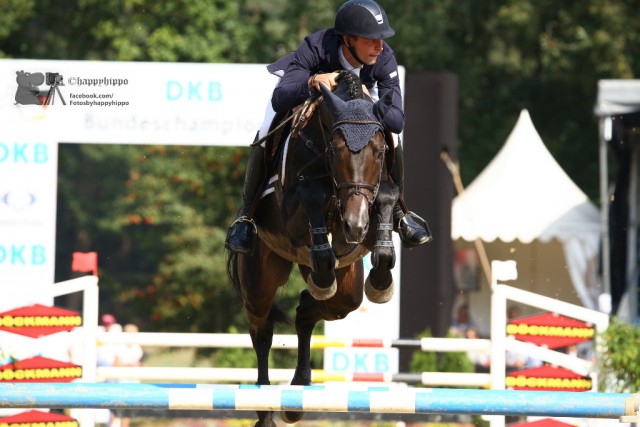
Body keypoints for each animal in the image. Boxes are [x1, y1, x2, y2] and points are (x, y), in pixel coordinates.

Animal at [226, 71, 400, 427]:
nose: (355, 224)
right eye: (336, 150)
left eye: (379, 151)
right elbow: (313, 193)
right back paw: (266, 408)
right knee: (261, 330)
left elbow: (387, 197)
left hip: (344, 286)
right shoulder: (294, 212)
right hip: (259, 279)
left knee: (313, 308)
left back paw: (297, 392)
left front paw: (381, 280)